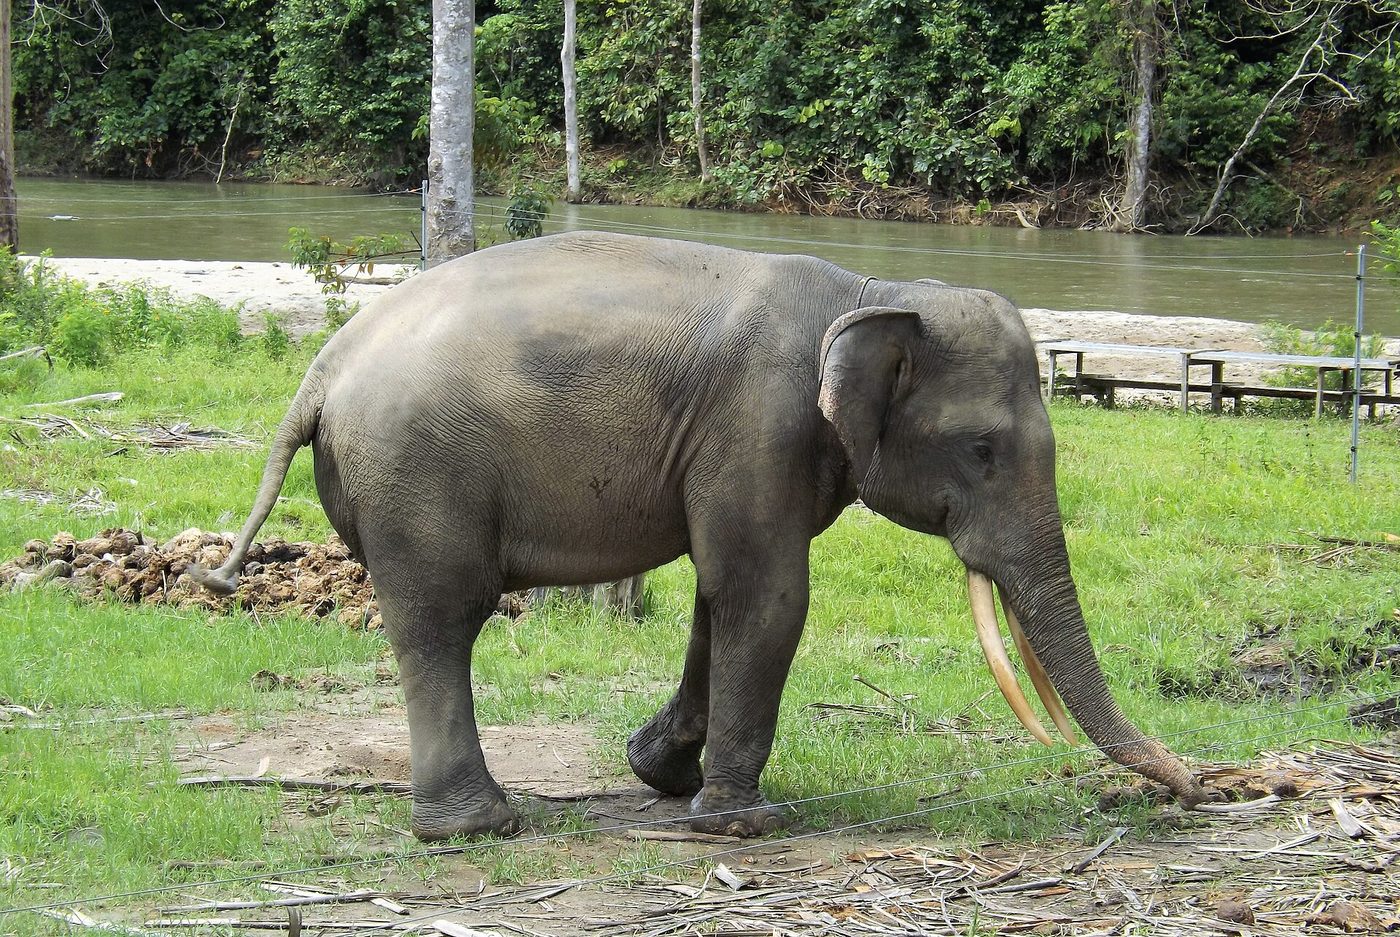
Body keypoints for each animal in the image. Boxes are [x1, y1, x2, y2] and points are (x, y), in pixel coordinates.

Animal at [189, 230, 1214, 841]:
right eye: (982, 450)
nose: (1201, 788)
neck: (872, 290)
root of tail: (322, 368)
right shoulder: (760, 421)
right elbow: (769, 591)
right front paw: (738, 821)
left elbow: (719, 594)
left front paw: (662, 773)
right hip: (419, 476)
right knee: (442, 619)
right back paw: (479, 827)